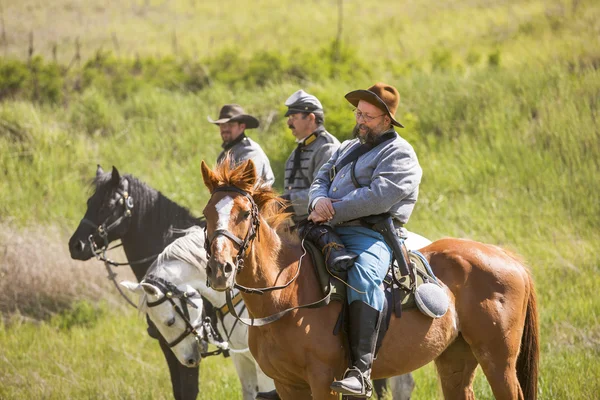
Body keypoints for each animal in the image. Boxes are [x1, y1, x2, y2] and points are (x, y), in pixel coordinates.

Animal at [68, 166, 207, 400]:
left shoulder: (189, 343)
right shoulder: (169, 344)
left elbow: (188, 390)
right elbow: (179, 390)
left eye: (107, 205)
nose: (76, 246)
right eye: (89, 202)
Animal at [200, 159, 540, 400]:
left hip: (498, 361)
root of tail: (508, 257)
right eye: (206, 214)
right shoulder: (286, 385)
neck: (286, 296)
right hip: (455, 359)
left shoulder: (324, 382)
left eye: (245, 213)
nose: (220, 269)